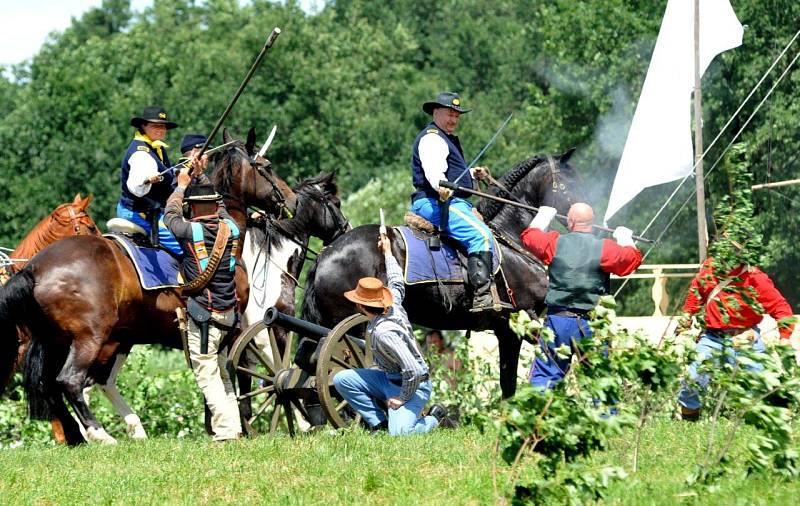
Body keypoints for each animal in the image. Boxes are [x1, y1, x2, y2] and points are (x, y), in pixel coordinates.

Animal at [0, 132, 292, 444]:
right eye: (267, 166)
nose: (291, 199)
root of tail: (33, 268)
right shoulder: (228, 327)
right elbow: (230, 372)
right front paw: (231, 423)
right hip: (90, 339)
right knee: (71, 381)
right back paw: (100, 434)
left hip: (62, 341)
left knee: (55, 385)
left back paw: (82, 434)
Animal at [304, 150, 584, 400]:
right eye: (570, 180)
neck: (511, 238)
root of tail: (324, 256)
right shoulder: (526, 322)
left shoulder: (506, 331)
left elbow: (509, 386)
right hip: (354, 330)